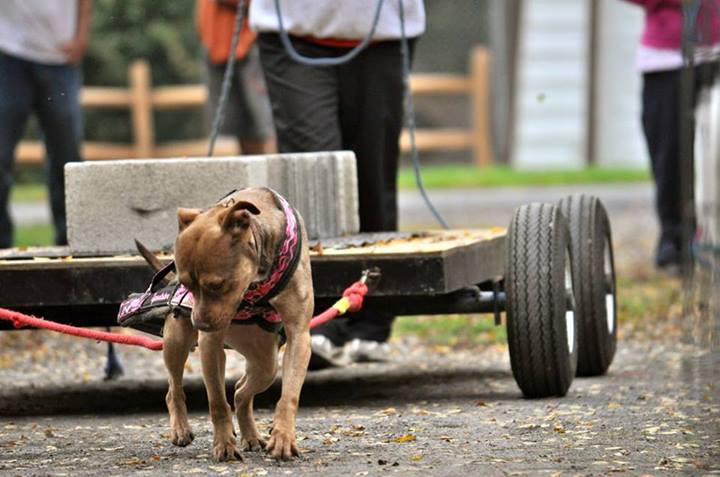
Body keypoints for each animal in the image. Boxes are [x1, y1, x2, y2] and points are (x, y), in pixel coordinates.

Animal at [159, 187, 314, 462]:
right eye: (186, 284)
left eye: (216, 285)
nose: (198, 322)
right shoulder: (210, 344)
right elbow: (217, 403)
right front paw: (223, 444)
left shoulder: (299, 335)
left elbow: (289, 395)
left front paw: (283, 437)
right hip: (176, 341)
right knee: (174, 388)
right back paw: (180, 428)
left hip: (265, 362)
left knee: (242, 391)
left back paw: (251, 435)